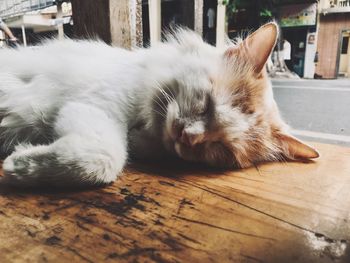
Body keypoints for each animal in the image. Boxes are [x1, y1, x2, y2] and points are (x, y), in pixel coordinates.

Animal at [0, 22, 318, 188]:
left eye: (221, 149)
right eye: (208, 105)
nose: (188, 137)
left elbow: (103, 159)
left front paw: (23, 162)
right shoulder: (92, 105)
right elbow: (106, 158)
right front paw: (18, 164)